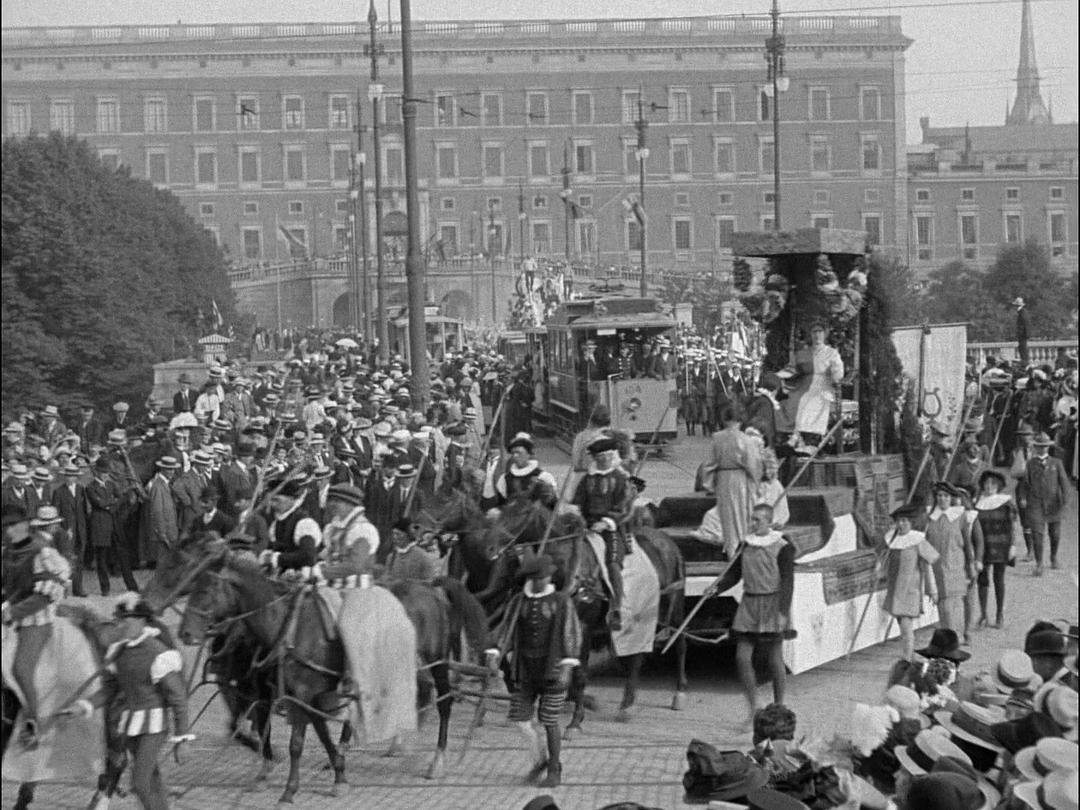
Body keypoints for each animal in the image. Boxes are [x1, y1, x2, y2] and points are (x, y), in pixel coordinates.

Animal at [460, 498, 686, 738]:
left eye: (520, 514)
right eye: (501, 513)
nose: (489, 548)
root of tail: (667, 542)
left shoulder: (583, 626)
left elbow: (579, 673)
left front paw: (574, 722)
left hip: (675, 607)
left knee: (679, 643)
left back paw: (678, 693)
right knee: (637, 657)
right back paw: (626, 705)